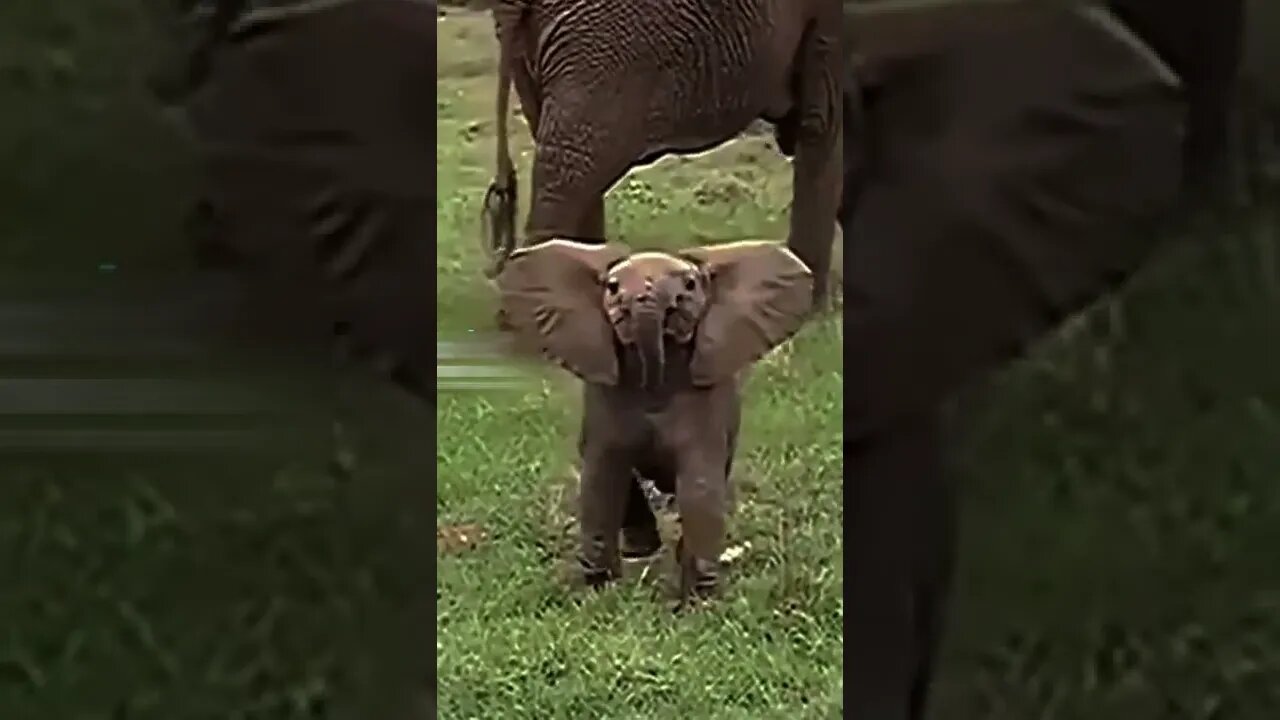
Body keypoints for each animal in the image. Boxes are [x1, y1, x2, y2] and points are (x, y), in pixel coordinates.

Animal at [496, 238, 808, 597]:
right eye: (612, 287)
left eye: (690, 285)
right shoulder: (607, 394)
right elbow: (603, 473)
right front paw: (600, 591)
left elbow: (700, 481)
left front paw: (696, 601)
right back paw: (641, 550)